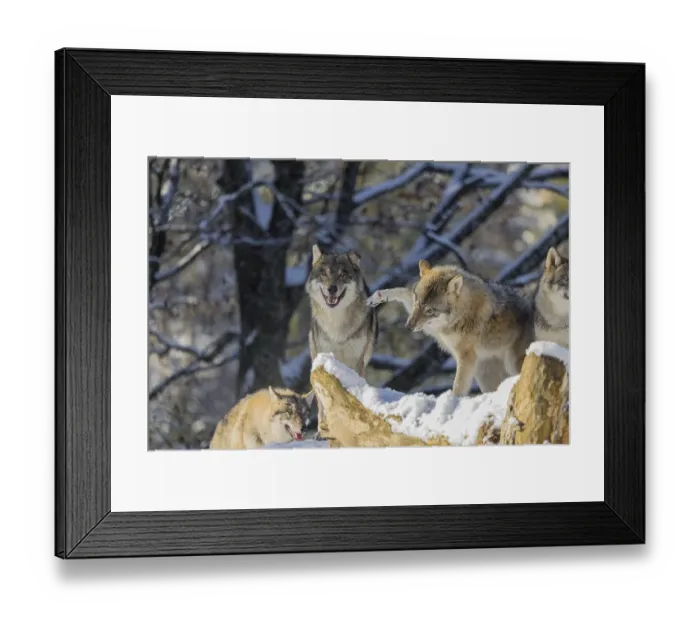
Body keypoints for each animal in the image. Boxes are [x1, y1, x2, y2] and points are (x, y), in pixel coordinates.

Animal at [305, 245, 378, 435]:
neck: (337, 324)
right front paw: (324, 431)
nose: (332, 288)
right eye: (324, 273)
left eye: (342, 274)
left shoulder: (357, 361)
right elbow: (324, 401)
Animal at [367, 260, 534, 396]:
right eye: (417, 302)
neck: (461, 315)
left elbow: (458, 387)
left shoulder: (465, 357)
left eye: (430, 311)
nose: (408, 326)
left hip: (510, 364)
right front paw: (377, 296)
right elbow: (402, 291)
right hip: (484, 374)